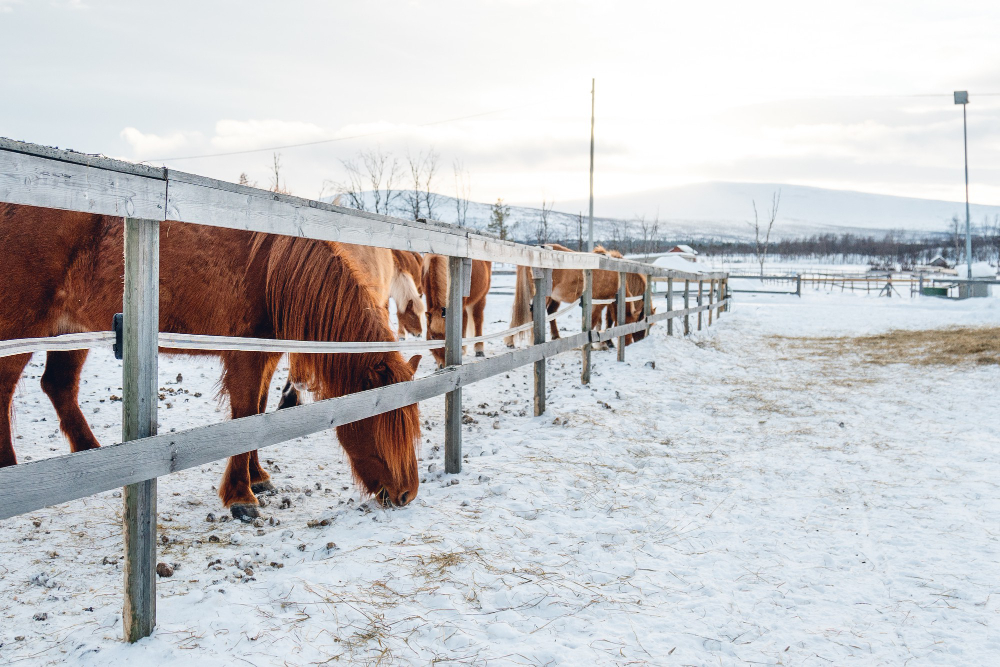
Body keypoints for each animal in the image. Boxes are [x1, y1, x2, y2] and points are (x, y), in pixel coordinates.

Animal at [0, 206, 422, 520]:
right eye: (384, 422)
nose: (407, 495)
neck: (269, 273)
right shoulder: (245, 358)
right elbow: (244, 415)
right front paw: (241, 497)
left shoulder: (266, 358)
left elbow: (258, 414)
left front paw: (257, 477)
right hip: (24, 327)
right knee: (8, 387)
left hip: (70, 330)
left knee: (59, 386)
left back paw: (91, 454)